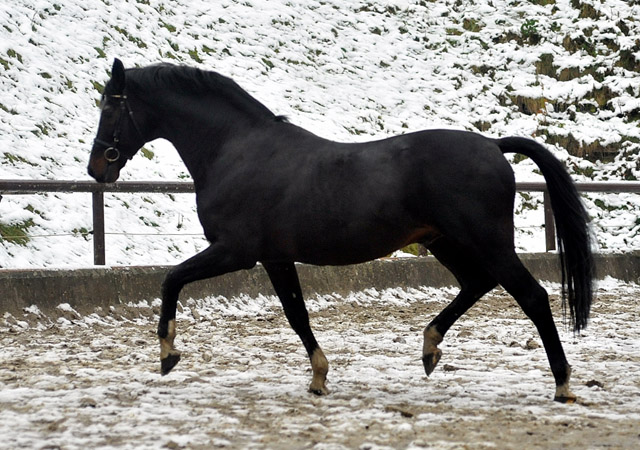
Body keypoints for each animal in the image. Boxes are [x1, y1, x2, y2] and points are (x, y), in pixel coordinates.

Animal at [87, 59, 592, 400]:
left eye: (110, 107)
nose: (96, 169)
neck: (237, 151)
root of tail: (492, 145)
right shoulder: (274, 257)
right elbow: (297, 315)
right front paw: (319, 375)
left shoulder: (236, 252)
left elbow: (170, 279)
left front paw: (167, 354)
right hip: (445, 241)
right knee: (477, 283)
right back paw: (429, 350)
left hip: (485, 241)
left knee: (531, 296)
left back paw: (563, 383)